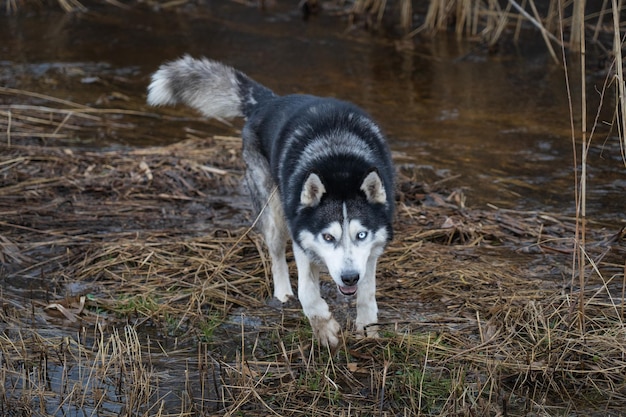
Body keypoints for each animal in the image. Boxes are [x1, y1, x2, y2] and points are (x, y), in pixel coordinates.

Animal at [146, 56, 392, 348]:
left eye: (361, 235)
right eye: (328, 237)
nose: (349, 276)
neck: (338, 161)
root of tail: (268, 101)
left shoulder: (371, 251)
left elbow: (367, 293)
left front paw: (367, 328)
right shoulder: (300, 238)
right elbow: (307, 293)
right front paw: (325, 329)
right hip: (274, 216)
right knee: (276, 255)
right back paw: (283, 293)